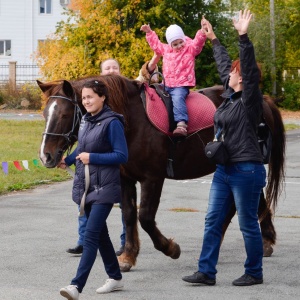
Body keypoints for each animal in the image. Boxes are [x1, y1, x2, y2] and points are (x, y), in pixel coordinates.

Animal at [36, 75, 284, 272]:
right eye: (45, 114)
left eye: (65, 114)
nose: (46, 156)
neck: (132, 122)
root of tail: (263, 101)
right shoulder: (125, 179)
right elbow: (128, 215)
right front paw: (128, 256)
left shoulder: (152, 178)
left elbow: (145, 217)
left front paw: (170, 248)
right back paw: (263, 240)